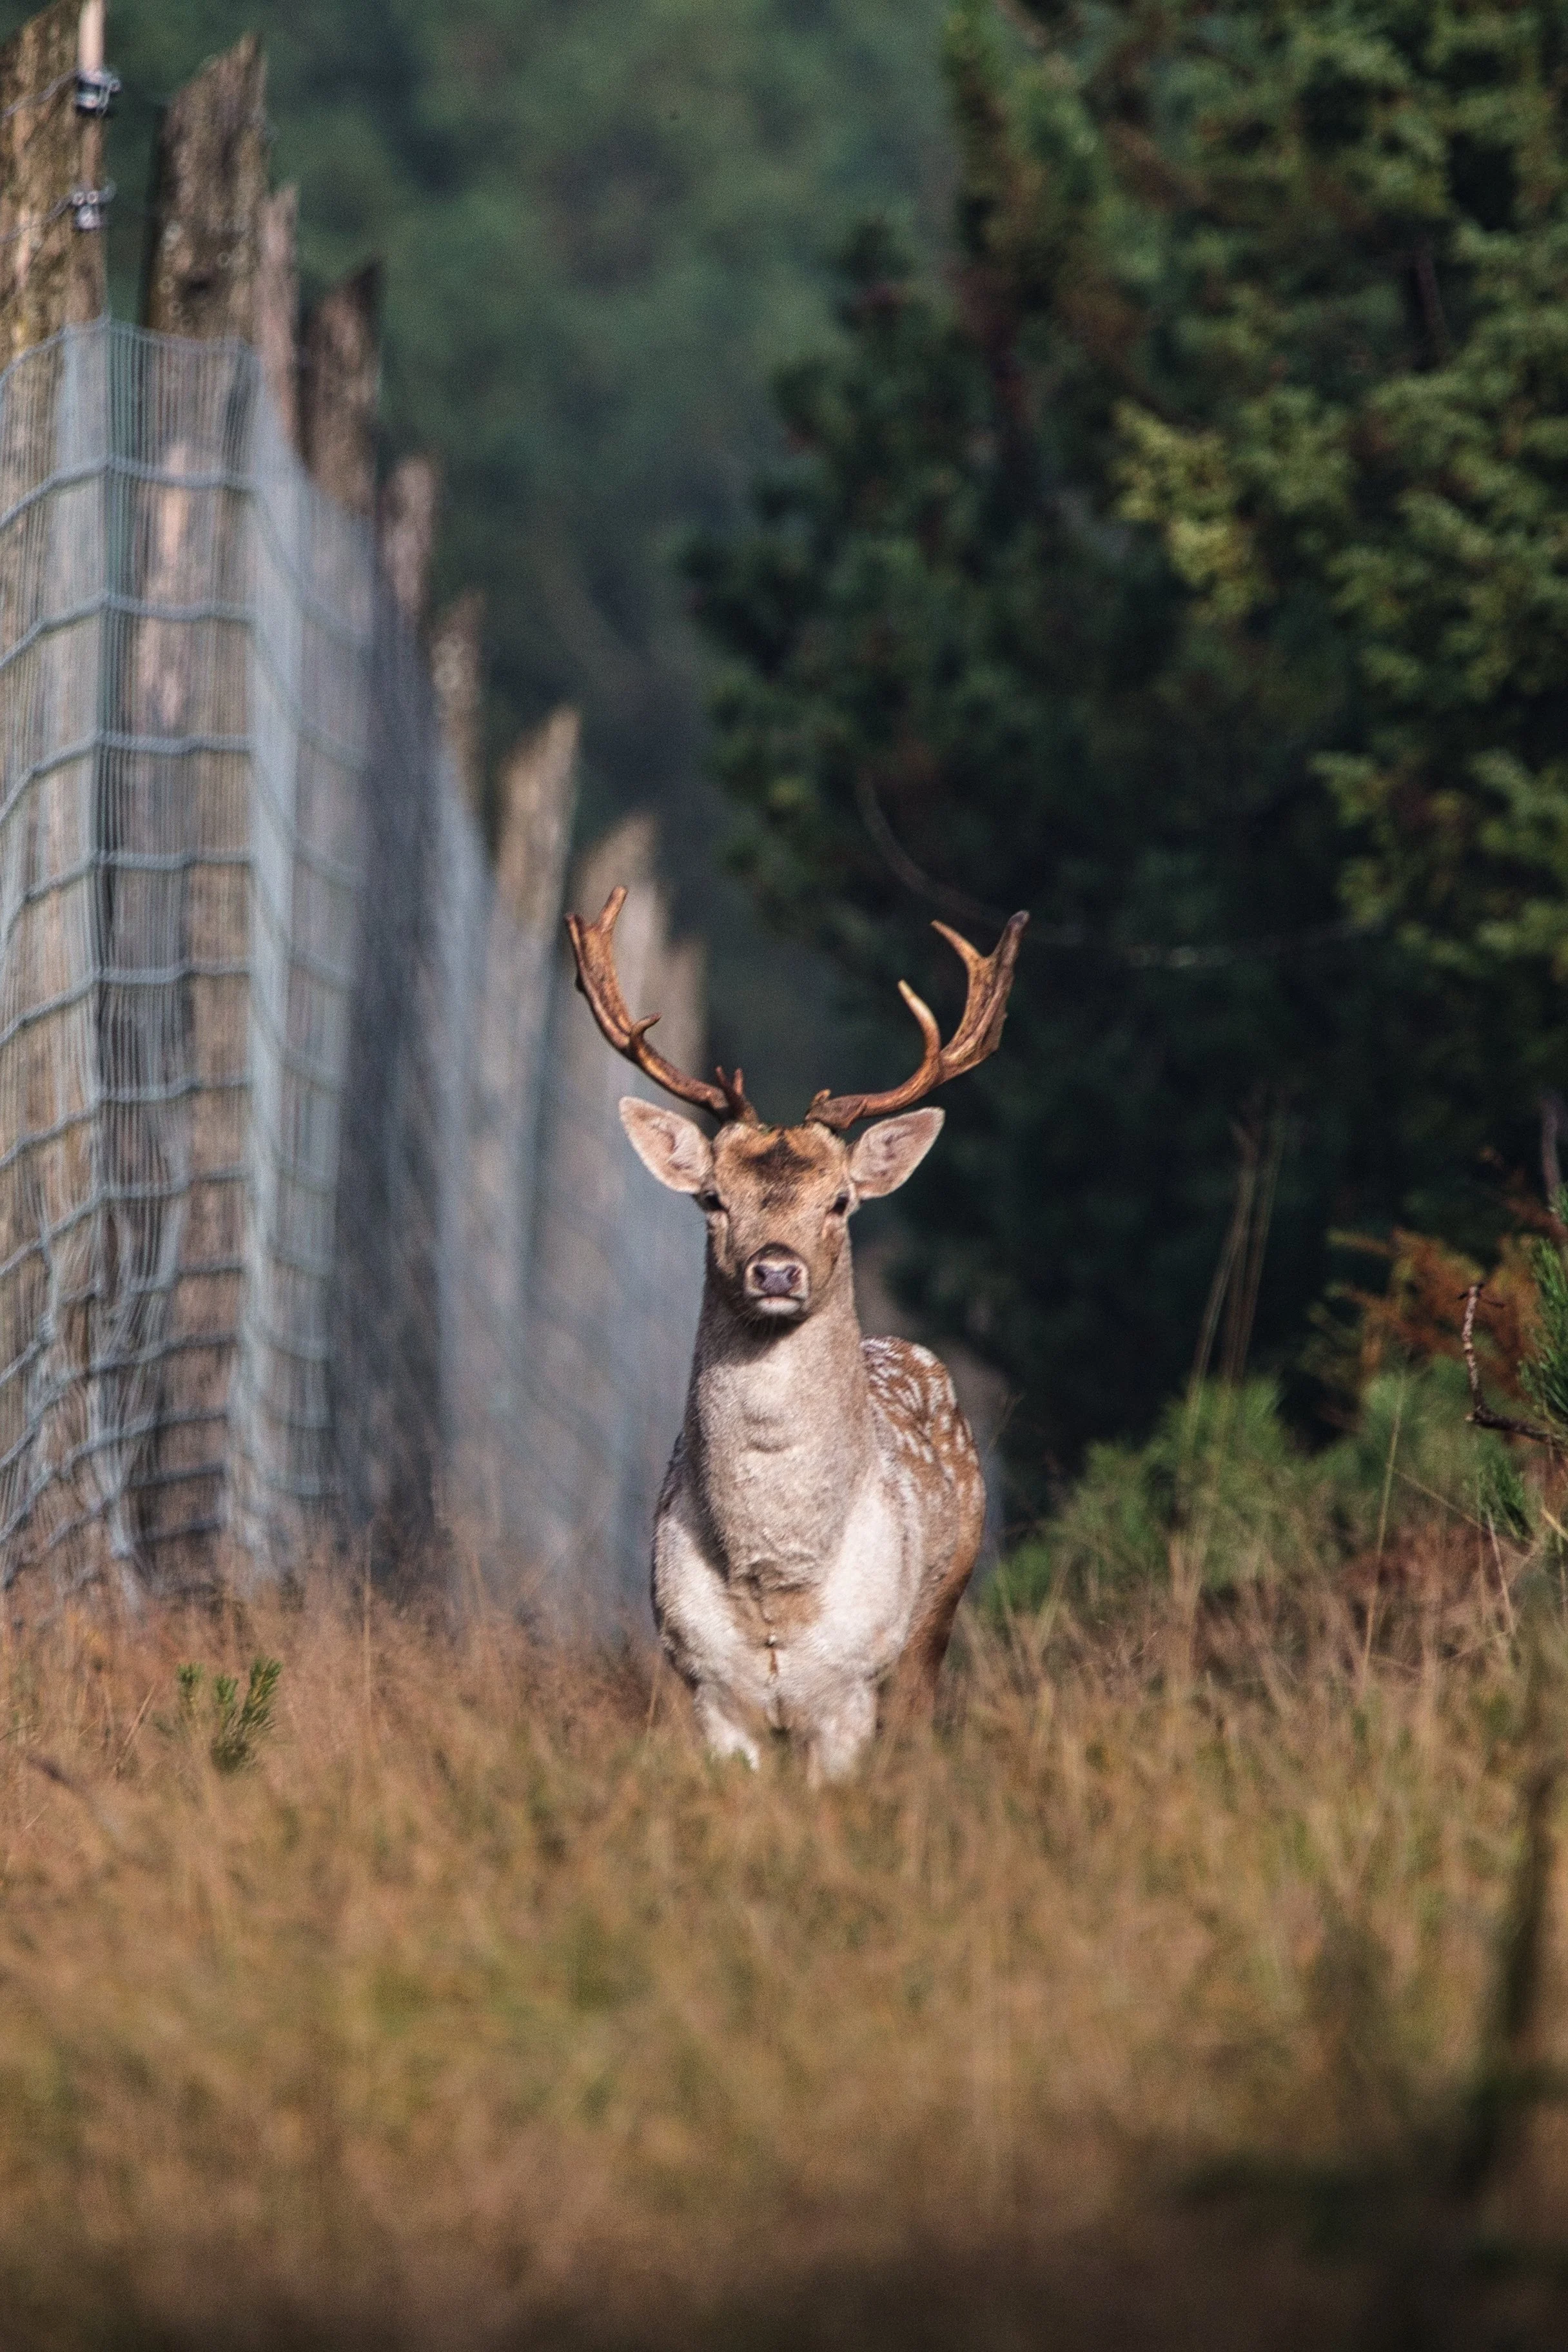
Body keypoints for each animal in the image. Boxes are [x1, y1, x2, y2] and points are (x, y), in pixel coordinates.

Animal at [565, 890, 1028, 1780]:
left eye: (840, 1200)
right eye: (711, 1197)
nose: (774, 1270)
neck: (774, 1583)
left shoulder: (850, 1686)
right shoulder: (706, 1683)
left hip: (933, 1623)